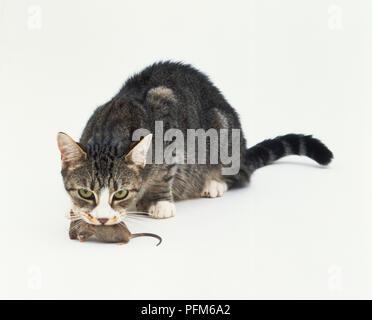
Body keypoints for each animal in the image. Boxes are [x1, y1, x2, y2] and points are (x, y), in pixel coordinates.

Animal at [58, 60, 334, 235]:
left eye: (120, 193)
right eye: (86, 193)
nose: (103, 218)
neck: (110, 131)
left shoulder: (168, 123)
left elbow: (166, 173)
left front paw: (160, 202)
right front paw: (77, 209)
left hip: (224, 134)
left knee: (239, 174)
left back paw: (214, 183)